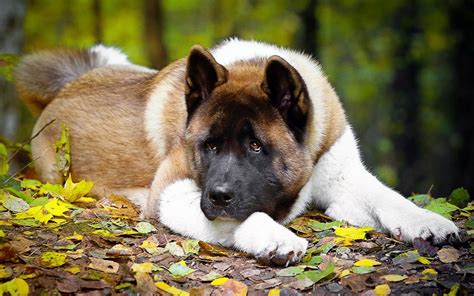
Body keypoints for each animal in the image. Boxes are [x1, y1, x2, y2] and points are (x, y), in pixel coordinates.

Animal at [15, 38, 460, 266]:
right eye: (209, 146)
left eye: (256, 146)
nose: (217, 195)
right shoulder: (171, 192)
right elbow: (245, 215)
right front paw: (274, 237)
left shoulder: (342, 175)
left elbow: (390, 197)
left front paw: (429, 223)